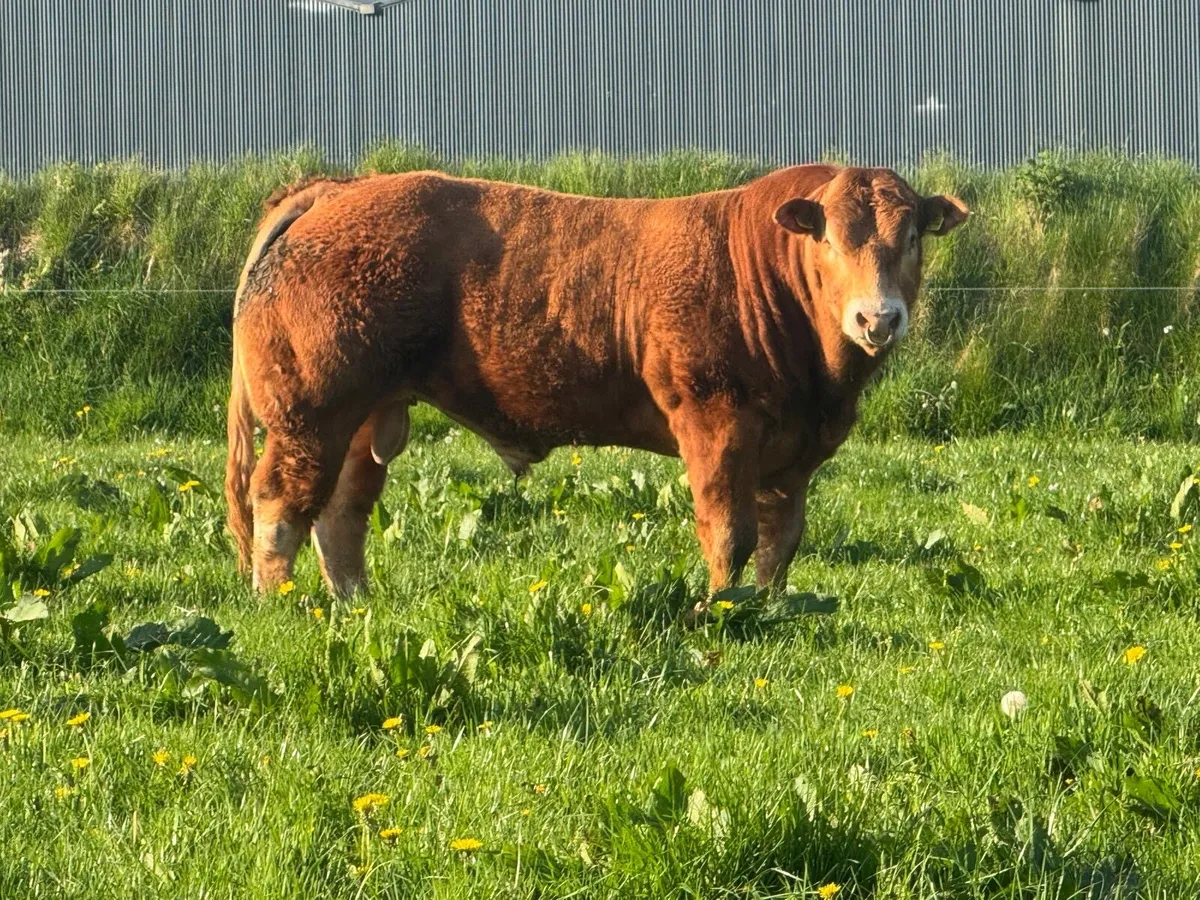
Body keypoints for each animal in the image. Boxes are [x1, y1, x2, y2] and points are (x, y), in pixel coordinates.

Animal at [225, 165, 967, 602]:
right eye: (831, 240)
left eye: (911, 238)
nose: (878, 317)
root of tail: (342, 186)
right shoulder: (716, 422)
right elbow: (730, 534)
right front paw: (722, 611)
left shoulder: (794, 452)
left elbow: (779, 542)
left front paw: (771, 608)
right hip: (310, 412)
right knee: (280, 504)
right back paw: (277, 606)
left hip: (363, 415)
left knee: (340, 513)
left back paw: (354, 603)